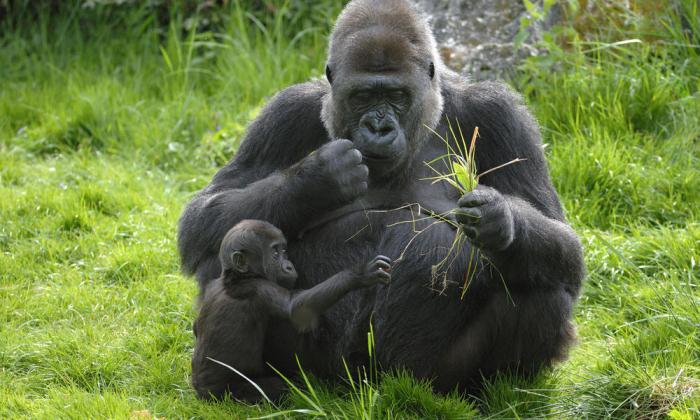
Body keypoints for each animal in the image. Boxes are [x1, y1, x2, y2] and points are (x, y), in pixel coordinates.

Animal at [190, 220, 394, 400]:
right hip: (227, 392)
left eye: (284, 251)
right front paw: (359, 275)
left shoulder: (214, 284)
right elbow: (296, 309)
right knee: (278, 387)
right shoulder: (260, 288)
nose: (289, 266)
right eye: (275, 253)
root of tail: (200, 391)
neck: (235, 276)